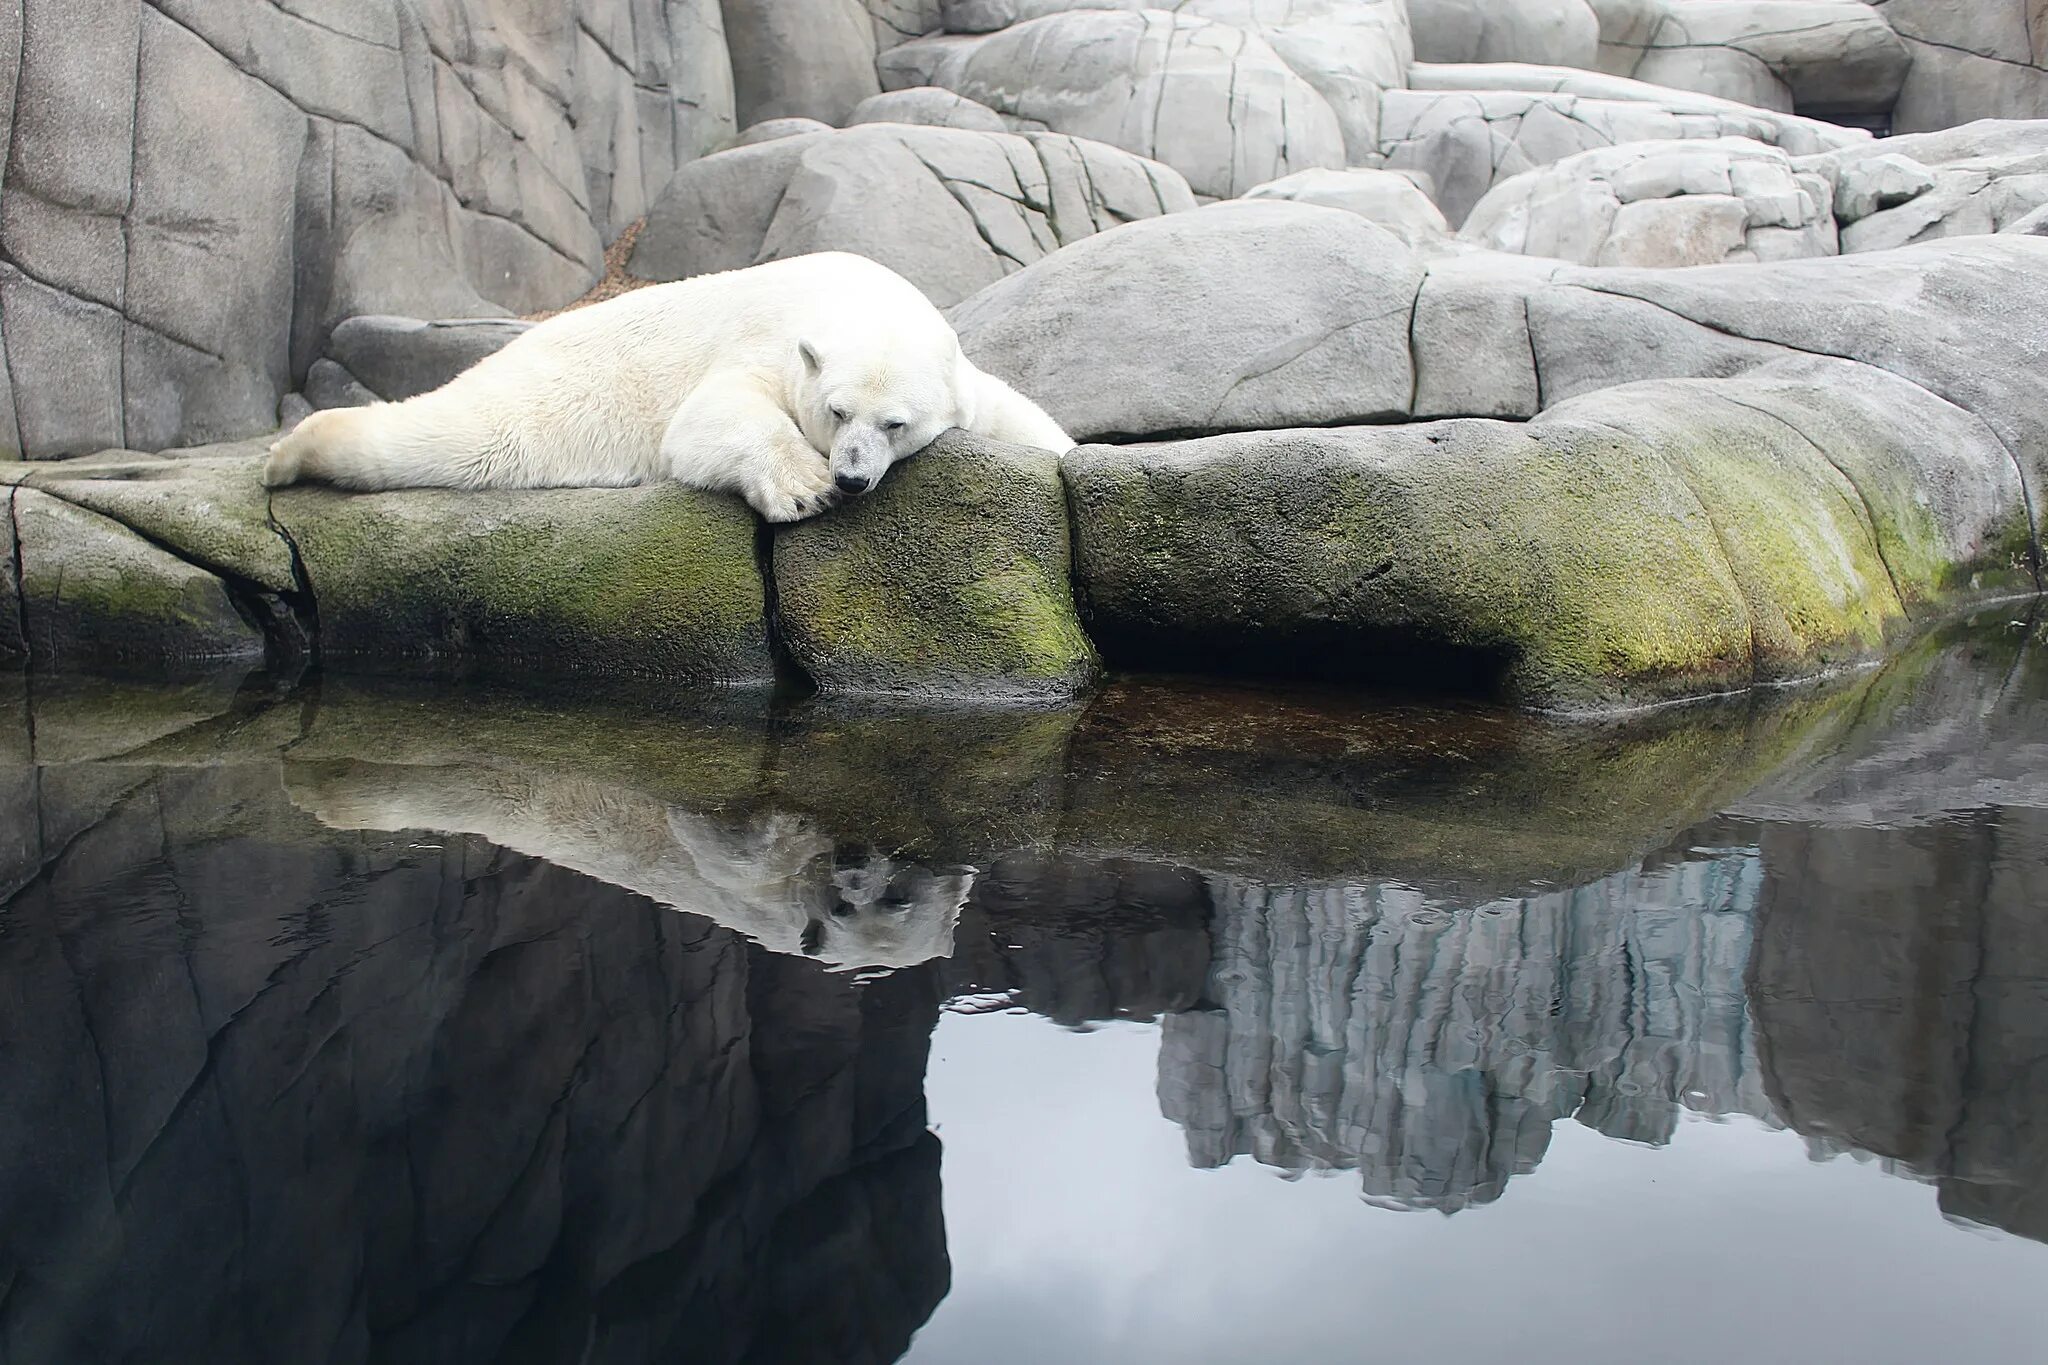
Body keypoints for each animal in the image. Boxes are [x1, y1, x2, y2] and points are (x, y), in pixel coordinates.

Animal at [256, 248, 1073, 519]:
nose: (849, 479)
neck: (849, 291)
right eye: (837, 412)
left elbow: (1012, 412)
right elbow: (708, 416)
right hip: (545, 395)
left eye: (894, 423)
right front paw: (801, 488)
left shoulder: (958, 375)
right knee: (462, 437)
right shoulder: (767, 341)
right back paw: (287, 455)